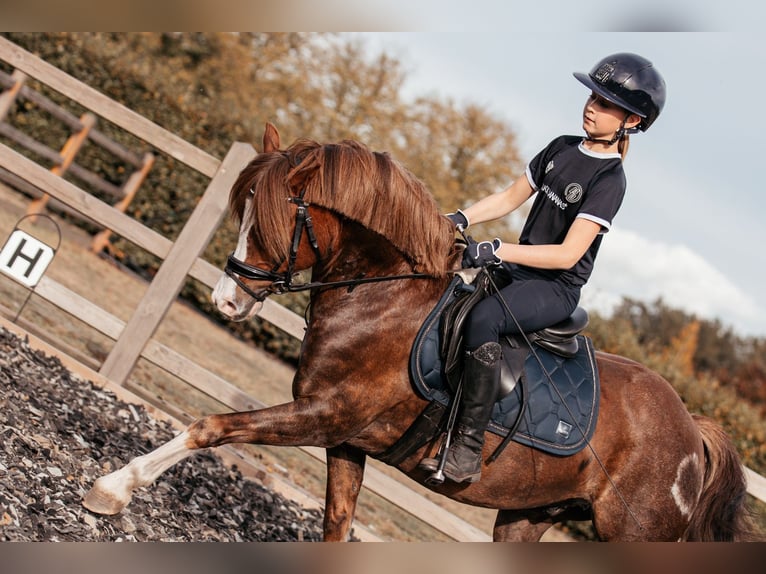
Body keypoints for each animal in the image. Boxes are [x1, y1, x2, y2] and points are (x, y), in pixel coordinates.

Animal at [82, 124, 756, 544]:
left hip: (632, 530)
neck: (381, 297)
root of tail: (692, 430)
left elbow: (211, 426)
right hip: (529, 511)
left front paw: (112, 488)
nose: (228, 299)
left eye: (272, 220)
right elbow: (337, 524)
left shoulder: (324, 415)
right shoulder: (345, 439)